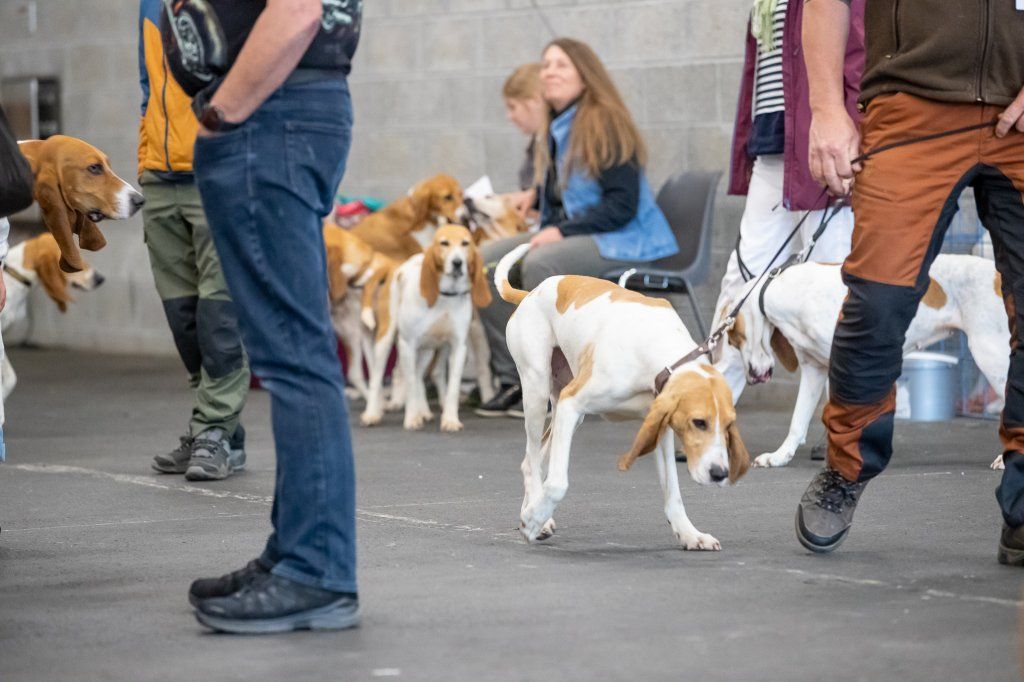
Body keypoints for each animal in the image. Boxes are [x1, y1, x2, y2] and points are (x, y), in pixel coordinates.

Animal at [362, 223, 493, 430]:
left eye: (466, 243)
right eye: (444, 243)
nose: (457, 263)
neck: (446, 295)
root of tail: (396, 266)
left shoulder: (458, 347)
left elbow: (452, 387)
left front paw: (450, 419)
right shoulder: (407, 344)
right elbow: (408, 382)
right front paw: (411, 418)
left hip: (428, 349)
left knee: (418, 376)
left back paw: (423, 410)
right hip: (387, 338)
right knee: (378, 376)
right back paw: (373, 413)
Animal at [495, 242, 753, 548]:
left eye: (728, 426)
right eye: (699, 423)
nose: (719, 473)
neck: (660, 349)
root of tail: (530, 294)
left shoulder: (659, 425)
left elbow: (673, 493)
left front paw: (689, 533)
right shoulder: (573, 402)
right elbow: (558, 483)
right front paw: (534, 520)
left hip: (564, 411)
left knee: (534, 461)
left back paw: (532, 509)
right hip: (537, 392)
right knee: (533, 462)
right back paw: (538, 517)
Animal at [724, 251, 1011, 471]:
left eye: (734, 340)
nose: (751, 377)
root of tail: (998, 276)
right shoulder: (813, 370)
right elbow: (798, 421)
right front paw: (780, 456)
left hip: (991, 354)